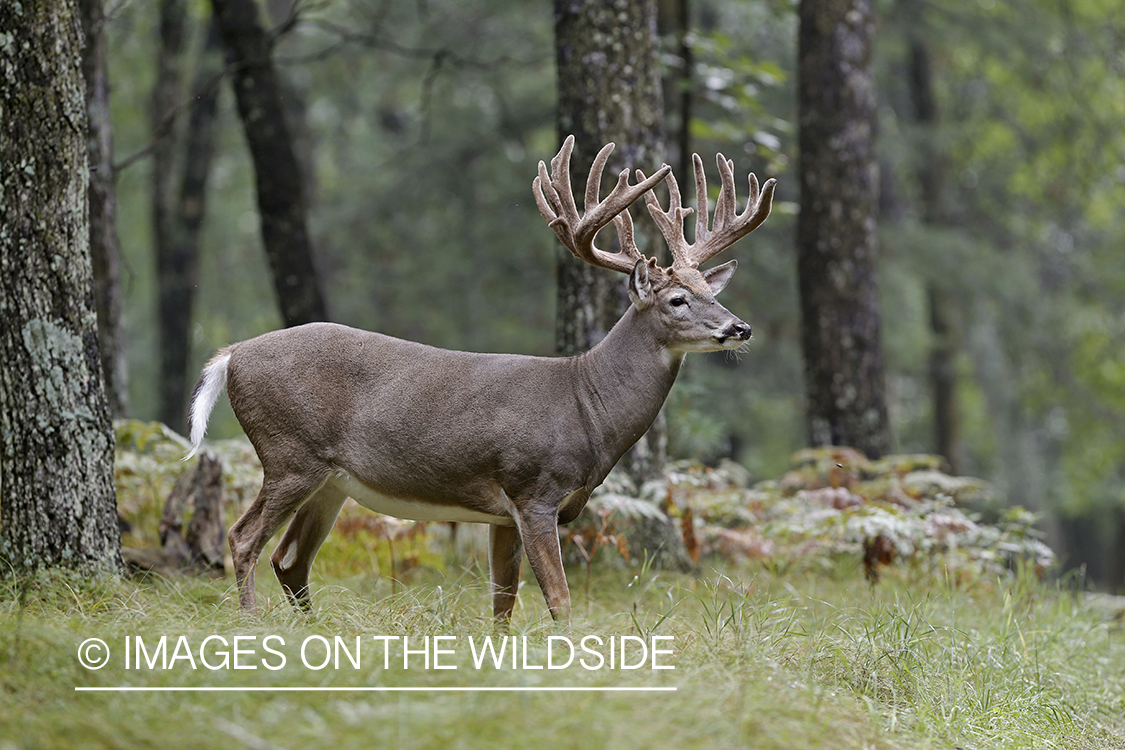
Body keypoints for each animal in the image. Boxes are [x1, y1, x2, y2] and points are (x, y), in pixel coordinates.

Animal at [191, 136, 774, 620]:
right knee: (243, 538)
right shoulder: (532, 489)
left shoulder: (502, 515)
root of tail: (232, 355)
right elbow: (558, 599)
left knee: (290, 559)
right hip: (289, 452)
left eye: (713, 292)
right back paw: (251, 624)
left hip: (331, 480)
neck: (585, 407)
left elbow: (503, 602)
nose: (740, 327)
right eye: (677, 300)